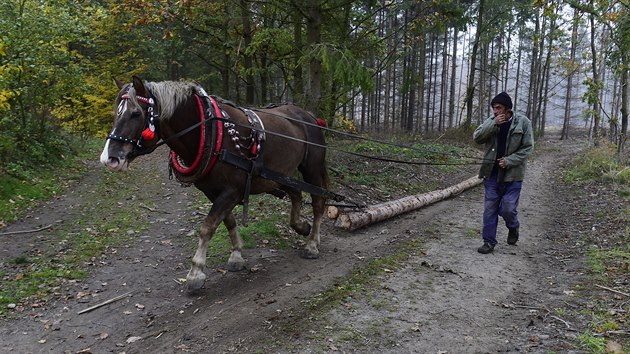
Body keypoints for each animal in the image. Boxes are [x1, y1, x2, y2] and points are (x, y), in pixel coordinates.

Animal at [100, 76, 330, 292]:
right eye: (115, 113)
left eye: (136, 114)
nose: (109, 159)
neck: (210, 130)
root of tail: (309, 116)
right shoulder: (213, 192)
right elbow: (228, 222)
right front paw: (236, 255)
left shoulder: (231, 192)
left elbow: (207, 227)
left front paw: (195, 273)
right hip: (278, 175)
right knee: (296, 193)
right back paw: (301, 226)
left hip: (311, 168)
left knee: (318, 201)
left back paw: (312, 244)